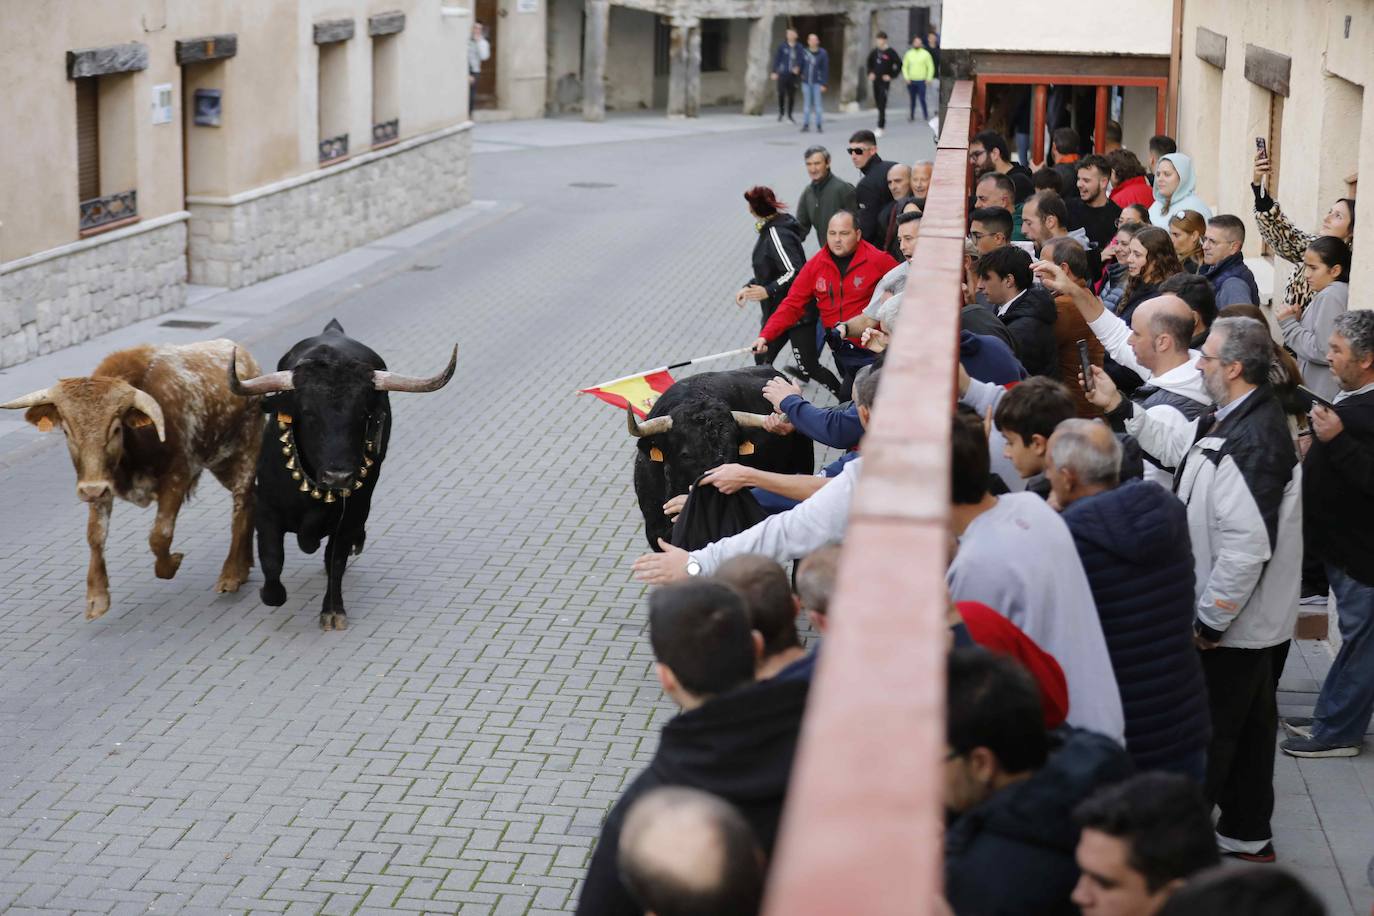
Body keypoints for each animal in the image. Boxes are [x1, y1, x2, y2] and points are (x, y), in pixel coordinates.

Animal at [2, 340, 262, 620]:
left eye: (116, 429)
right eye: (67, 432)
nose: (89, 491)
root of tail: (243, 356)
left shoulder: (178, 477)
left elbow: (160, 535)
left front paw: (171, 564)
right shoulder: (100, 484)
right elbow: (95, 535)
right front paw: (97, 598)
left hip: (246, 451)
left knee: (241, 504)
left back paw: (231, 574)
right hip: (220, 462)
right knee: (252, 500)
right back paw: (244, 566)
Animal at [226, 322, 456, 631]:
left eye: (362, 414)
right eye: (308, 412)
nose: (339, 476)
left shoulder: (348, 517)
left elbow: (335, 561)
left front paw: (333, 610)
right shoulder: (266, 510)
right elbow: (272, 562)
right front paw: (269, 593)